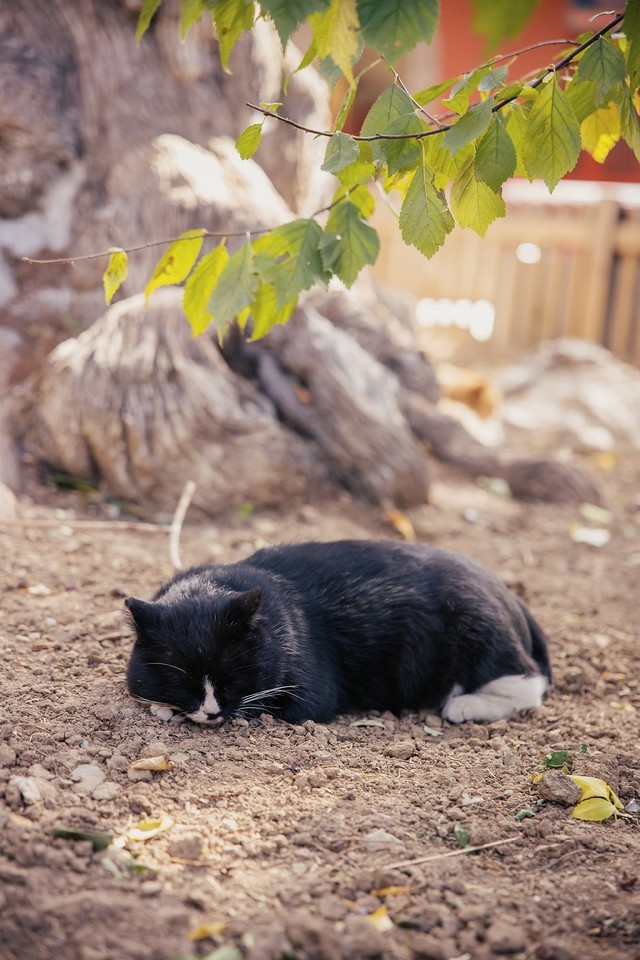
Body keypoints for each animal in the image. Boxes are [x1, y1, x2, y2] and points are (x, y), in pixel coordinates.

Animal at [125, 544, 552, 724]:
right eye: (183, 684)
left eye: (234, 679)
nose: (212, 712)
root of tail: (508, 594)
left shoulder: (312, 693)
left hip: (478, 629)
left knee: (528, 683)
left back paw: (463, 706)